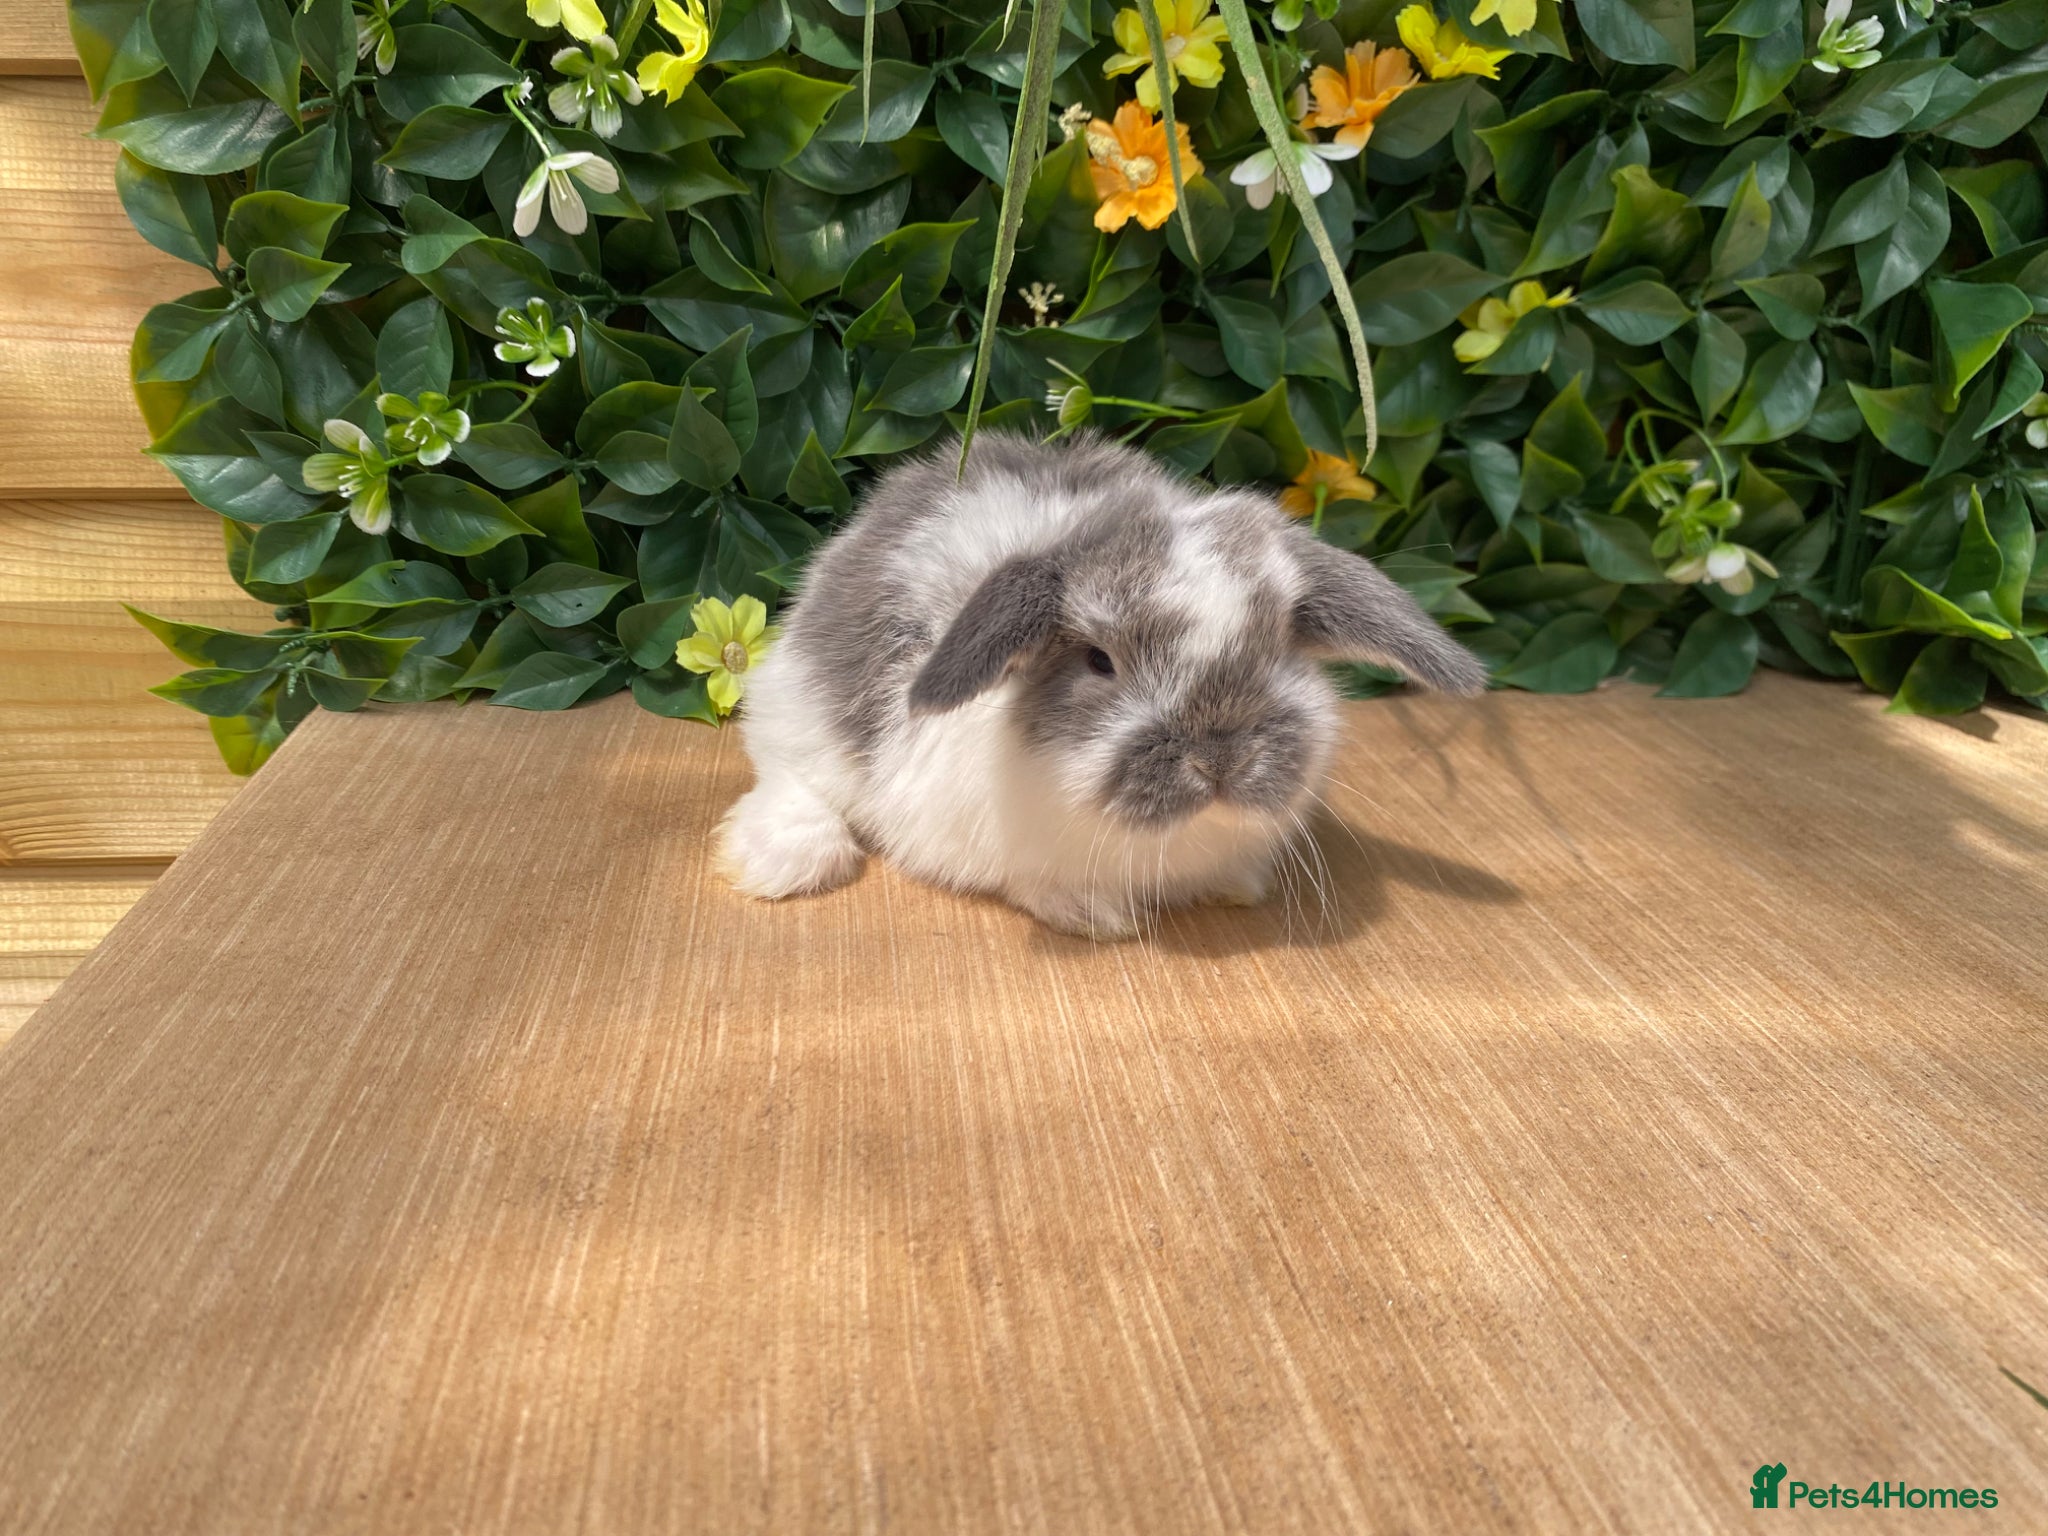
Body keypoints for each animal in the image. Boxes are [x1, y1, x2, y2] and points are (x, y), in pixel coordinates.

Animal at [717, 432, 1487, 938]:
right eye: (1098, 661)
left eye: (1281, 648)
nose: (1220, 760)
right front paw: (1094, 915)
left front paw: (1236, 888)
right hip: (800, 706)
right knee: (791, 771)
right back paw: (781, 859)